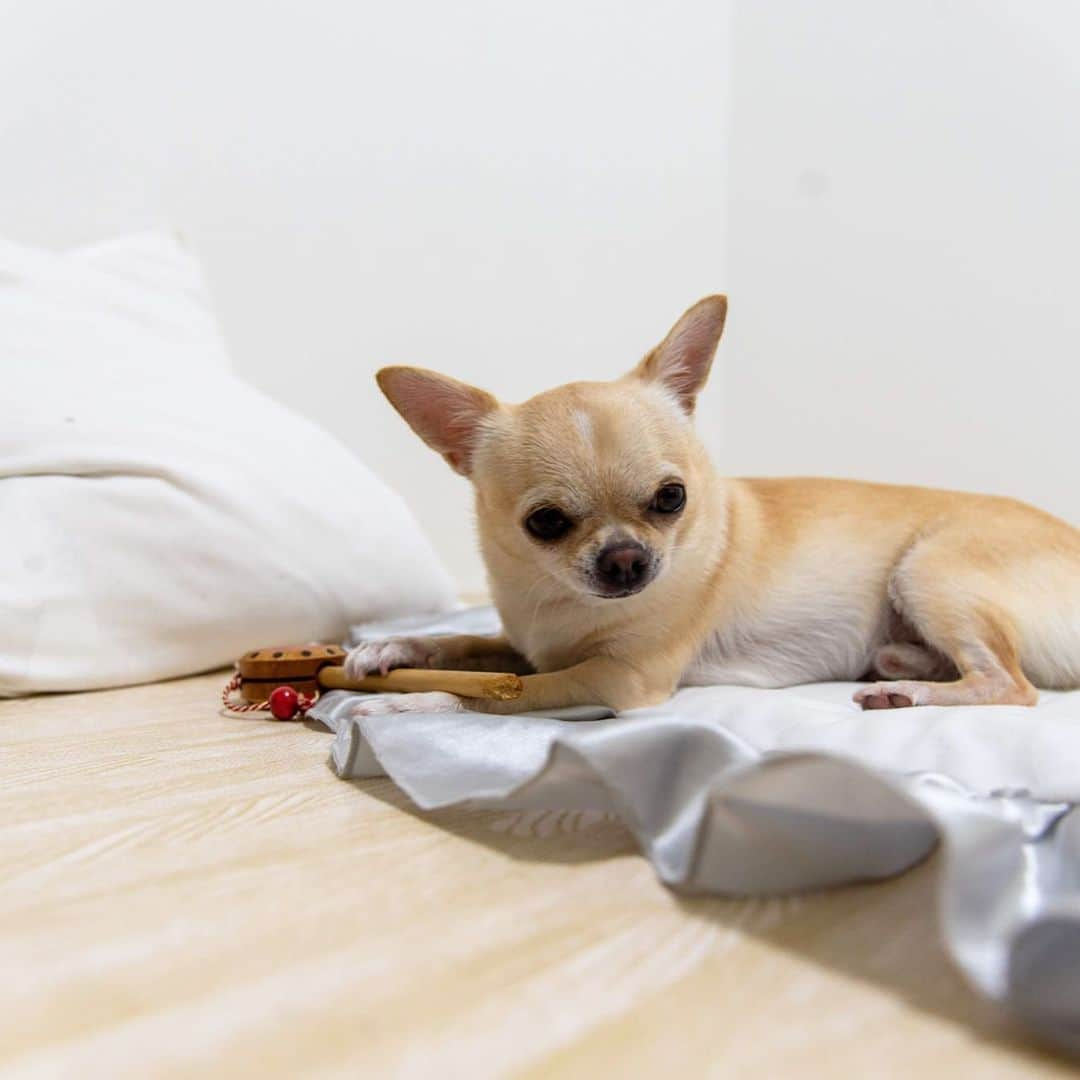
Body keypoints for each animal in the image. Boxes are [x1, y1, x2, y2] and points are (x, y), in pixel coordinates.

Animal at [345, 295, 1080, 717]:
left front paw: (406, 704)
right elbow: (469, 641)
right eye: (544, 524)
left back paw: (910, 690)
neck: (558, 604)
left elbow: (501, 690)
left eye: (672, 499)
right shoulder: (534, 644)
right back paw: (902, 664)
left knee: (1012, 685)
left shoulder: (620, 680)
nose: (625, 561)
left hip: (929, 570)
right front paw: (389, 647)